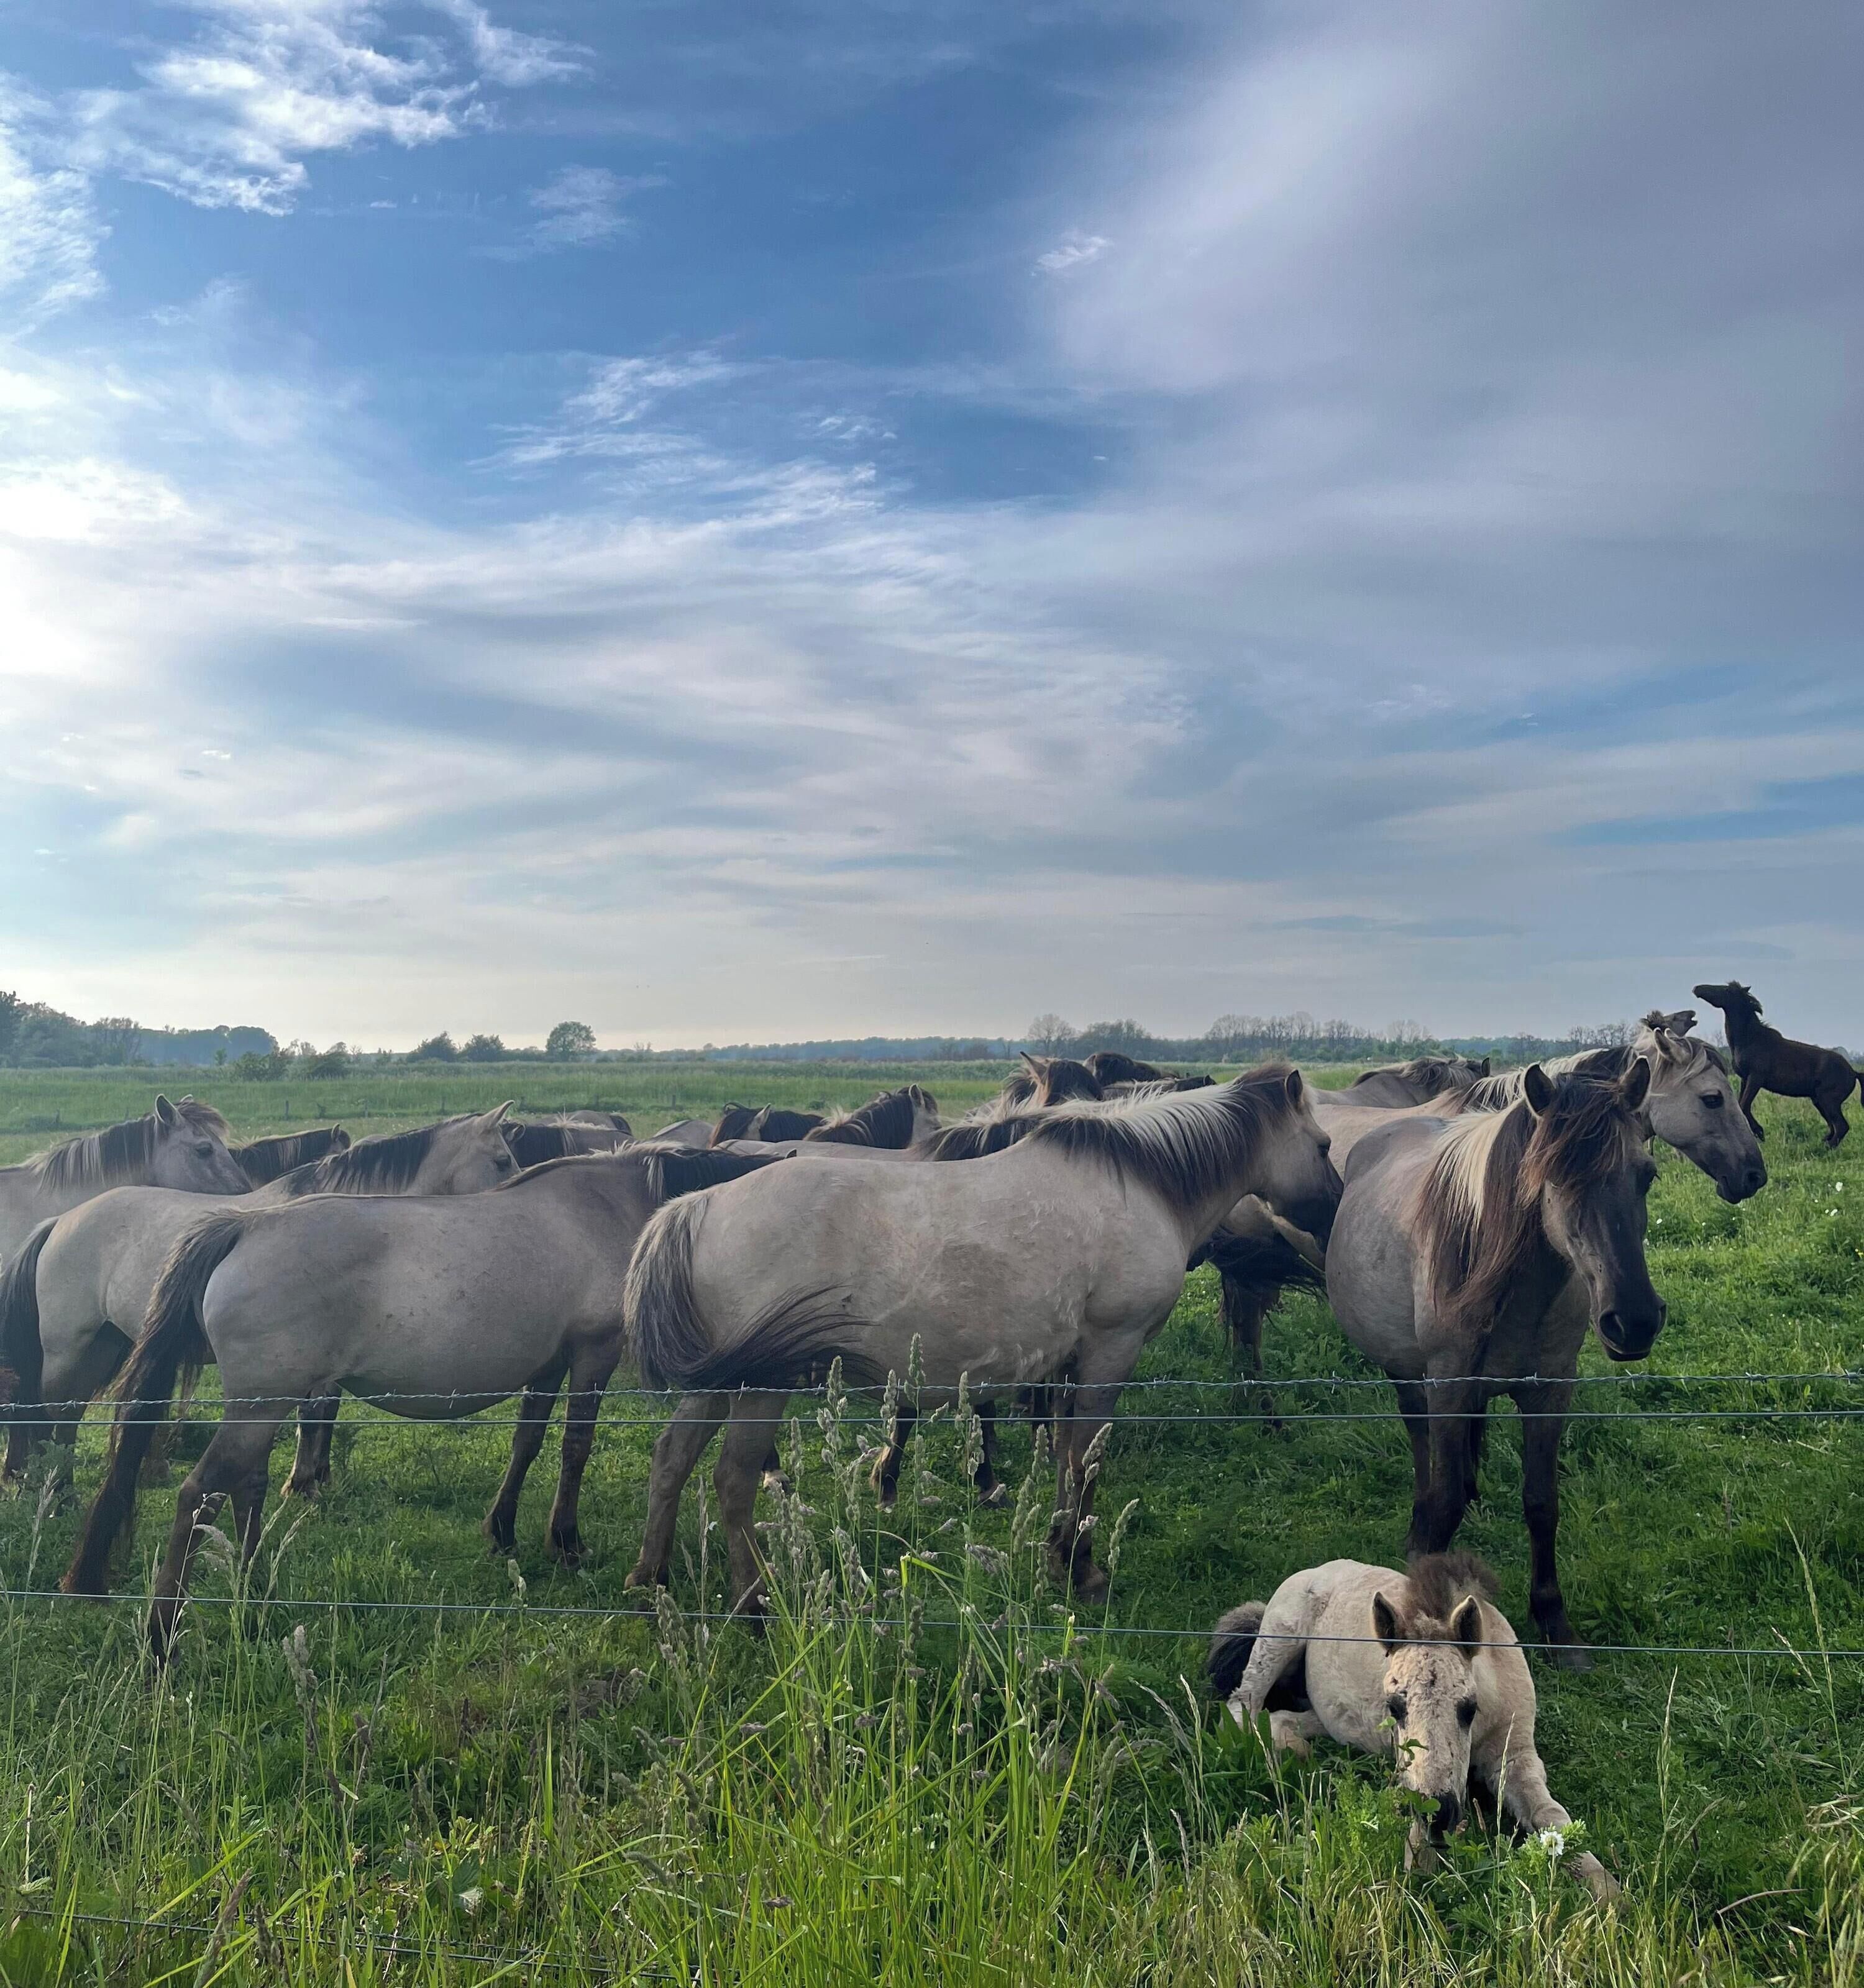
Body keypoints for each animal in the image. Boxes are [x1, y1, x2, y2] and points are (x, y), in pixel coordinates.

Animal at [62, 1145, 780, 1657]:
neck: (609, 1208)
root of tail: (244, 1227)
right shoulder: (592, 1354)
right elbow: (576, 1447)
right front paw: (566, 1540)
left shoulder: (547, 1365)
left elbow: (528, 1443)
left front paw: (504, 1530)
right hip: (258, 1405)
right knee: (200, 1492)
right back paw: (162, 1637)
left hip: (266, 1405)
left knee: (244, 1486)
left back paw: (253, 1587)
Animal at [622, 1069, 1343, 1611]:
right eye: (1324, 1145)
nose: (1335, 1215)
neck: (1141, 1181)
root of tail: (692, 1208)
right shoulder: (1111, 1350)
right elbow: (1086, 1464)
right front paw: (1082, 1569)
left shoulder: (1069, 1363)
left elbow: (1064, 1456)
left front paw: (1057, 1553)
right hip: (760, 1385)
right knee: (732, 1479)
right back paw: (754, 1601)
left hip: (722, 1382)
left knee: (672, 1458)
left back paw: (650, 1576)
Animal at [1209, 1552, 1617, 1899]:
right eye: (1394, 1707)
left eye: (1469, 1708)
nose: (1439, 1814)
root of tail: (1318, 1571)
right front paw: (1419, 1873)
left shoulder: (1515, 1755)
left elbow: (1549, 1814)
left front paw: (1603, 1885)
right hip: (1279, 1636)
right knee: (1241, 1707)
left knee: (1283, 1719)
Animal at [1324, 1062, 1665, 1664]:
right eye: (1554, 1177)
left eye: (1646, 1175)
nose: (1635, 1321)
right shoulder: (1448, 1383)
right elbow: (1443, 1503)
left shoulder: (1551, 1389)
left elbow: (1542, 1502)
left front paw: (1554, 1624)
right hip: (1408, 1372)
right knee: (1419, 1438)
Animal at [1693, 981, 1862, 1148]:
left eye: (1727, 990)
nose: (1697, 988)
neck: (1750, 1040)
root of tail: (1854, 1073)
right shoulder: (1745, 1078)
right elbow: (1741, 1106)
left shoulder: (1756, 1078)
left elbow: (1744, 1105)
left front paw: (1760, 1133)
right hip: (1819, 1100)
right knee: (1833, 1127)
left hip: (1828, 1100)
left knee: (1841, 1126)